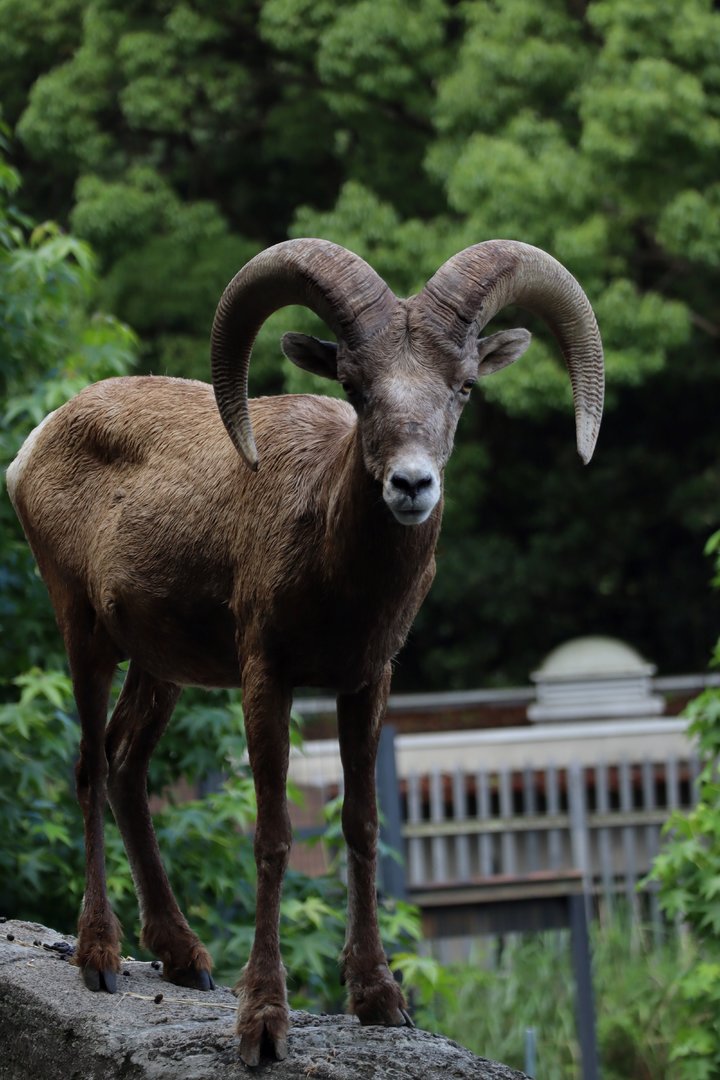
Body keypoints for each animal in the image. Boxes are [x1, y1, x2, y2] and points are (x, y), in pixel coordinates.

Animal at [6, 237, 604, 1066]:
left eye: (464, 387)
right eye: (355, 387)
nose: (411, 484)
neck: (333, 560)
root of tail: (33, 448)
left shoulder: (366, 683)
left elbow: (361, 825)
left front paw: (380, 1001)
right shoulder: (269, 678)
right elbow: (274, 835)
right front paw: (262, 1024)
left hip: (160, 669)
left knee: (127, 766)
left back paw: (185, 959)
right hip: (84, 633)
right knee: (93, 770)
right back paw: (102, 958)